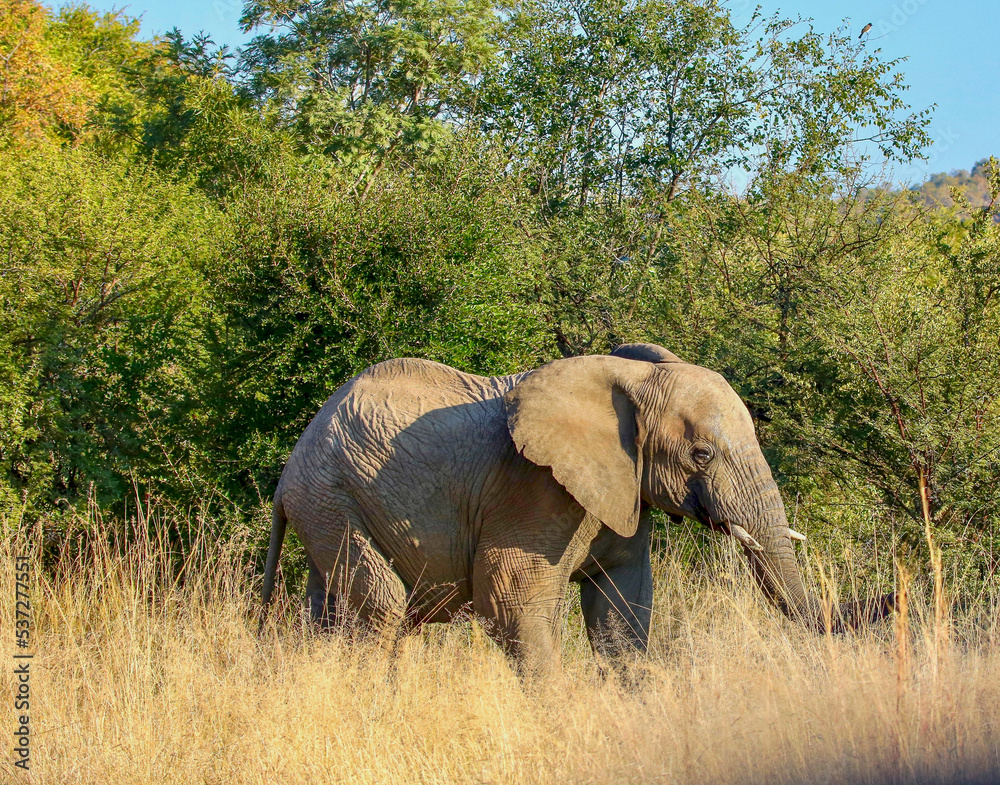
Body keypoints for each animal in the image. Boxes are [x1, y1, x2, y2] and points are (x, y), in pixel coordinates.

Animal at [261, 343, 892, 675]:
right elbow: (509, 601)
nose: (894, 593)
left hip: (330, 504)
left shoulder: (621, 487)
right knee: (382, 612)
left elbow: (622, 610)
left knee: (330, 614)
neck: (629, 378)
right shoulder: (535, 490)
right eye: (702, 454)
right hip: (332, 497)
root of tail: (288, 473)